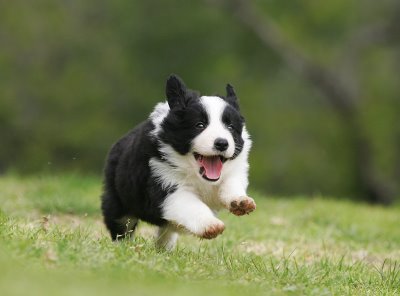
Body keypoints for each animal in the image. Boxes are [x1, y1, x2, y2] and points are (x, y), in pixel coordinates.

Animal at [101, 74, 255, 250]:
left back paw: (164, 248)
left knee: (167, 228)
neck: (195, 173)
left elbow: (231, 183)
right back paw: (123, 246)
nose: (222, 143)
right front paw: (210, 225)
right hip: (118, 200)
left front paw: (241, 202)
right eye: (199, 125)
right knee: (121, 224)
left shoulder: (234, 171)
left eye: (230, 127)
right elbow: (191, 205)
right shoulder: (164, 184)